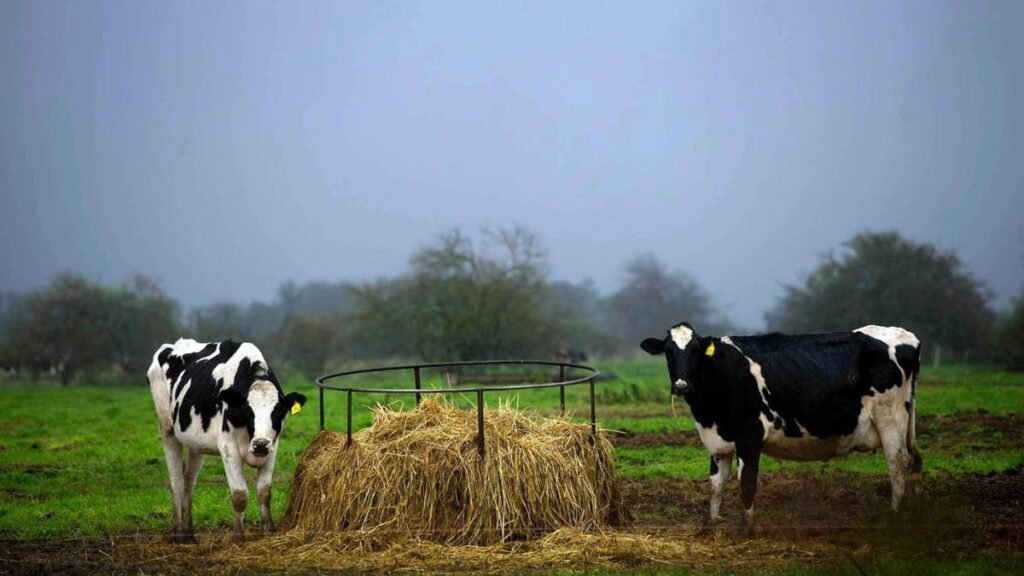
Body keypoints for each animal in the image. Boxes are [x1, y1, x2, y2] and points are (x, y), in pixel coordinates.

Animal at [147, 339, 307, 542]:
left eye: (277, 411)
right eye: (248, 410)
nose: (260, 444)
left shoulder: (273, 447)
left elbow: (264, 492)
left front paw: (269, 531)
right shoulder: (228, 447)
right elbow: (239, 495)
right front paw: (238, 537)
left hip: (195, 443)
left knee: (189, 482)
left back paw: (189, 533)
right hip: (167, 430)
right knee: (176, 481)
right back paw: (177, 534)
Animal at [641, 323, 922, 530]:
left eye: (695, 351)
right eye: (668, 352)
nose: (681, 385)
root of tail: (906, 336)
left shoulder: (749, 435)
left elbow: (747, 483)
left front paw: (746, 529)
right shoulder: (719, 441)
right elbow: (716, 485)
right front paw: (711, 525)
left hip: (890, 419)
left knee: (897, 465)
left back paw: (894, 515)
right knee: (911, 463)